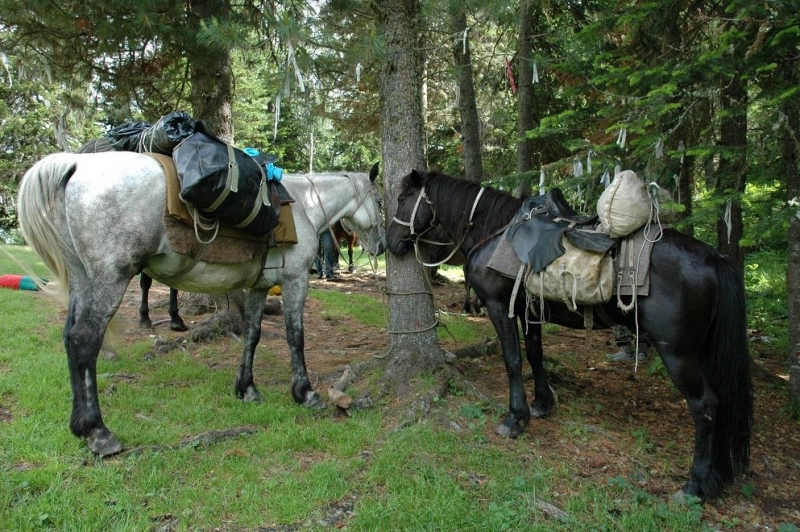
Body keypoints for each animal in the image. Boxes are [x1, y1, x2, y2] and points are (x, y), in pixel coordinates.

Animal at [15, 152, 384, 456]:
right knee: (84, 340)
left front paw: (246, 388)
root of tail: (77, 164)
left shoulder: (259, 287)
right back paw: (98, 432)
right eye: (380, 201)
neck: (304, 205)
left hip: (81, 278)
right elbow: (296, 337)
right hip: (110, 279)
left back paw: (81, 426)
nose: (380, 245)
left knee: (69, 337)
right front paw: (305, 393)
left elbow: (252, 335)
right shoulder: (295, 280)